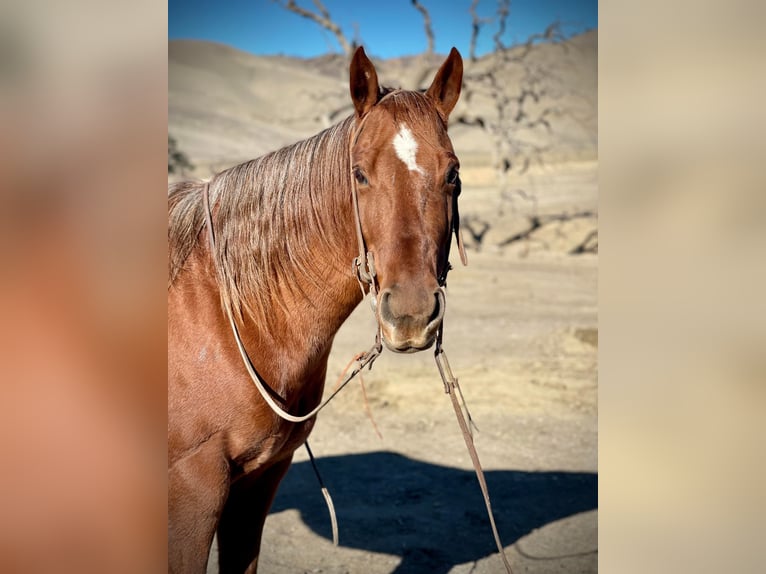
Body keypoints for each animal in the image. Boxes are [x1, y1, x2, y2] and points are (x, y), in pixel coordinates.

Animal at [168, 46, 464, 574]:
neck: (228, 314)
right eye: (359, 174)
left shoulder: (257, 482)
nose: (410, 313)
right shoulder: (193, 489)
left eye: (452, 174)